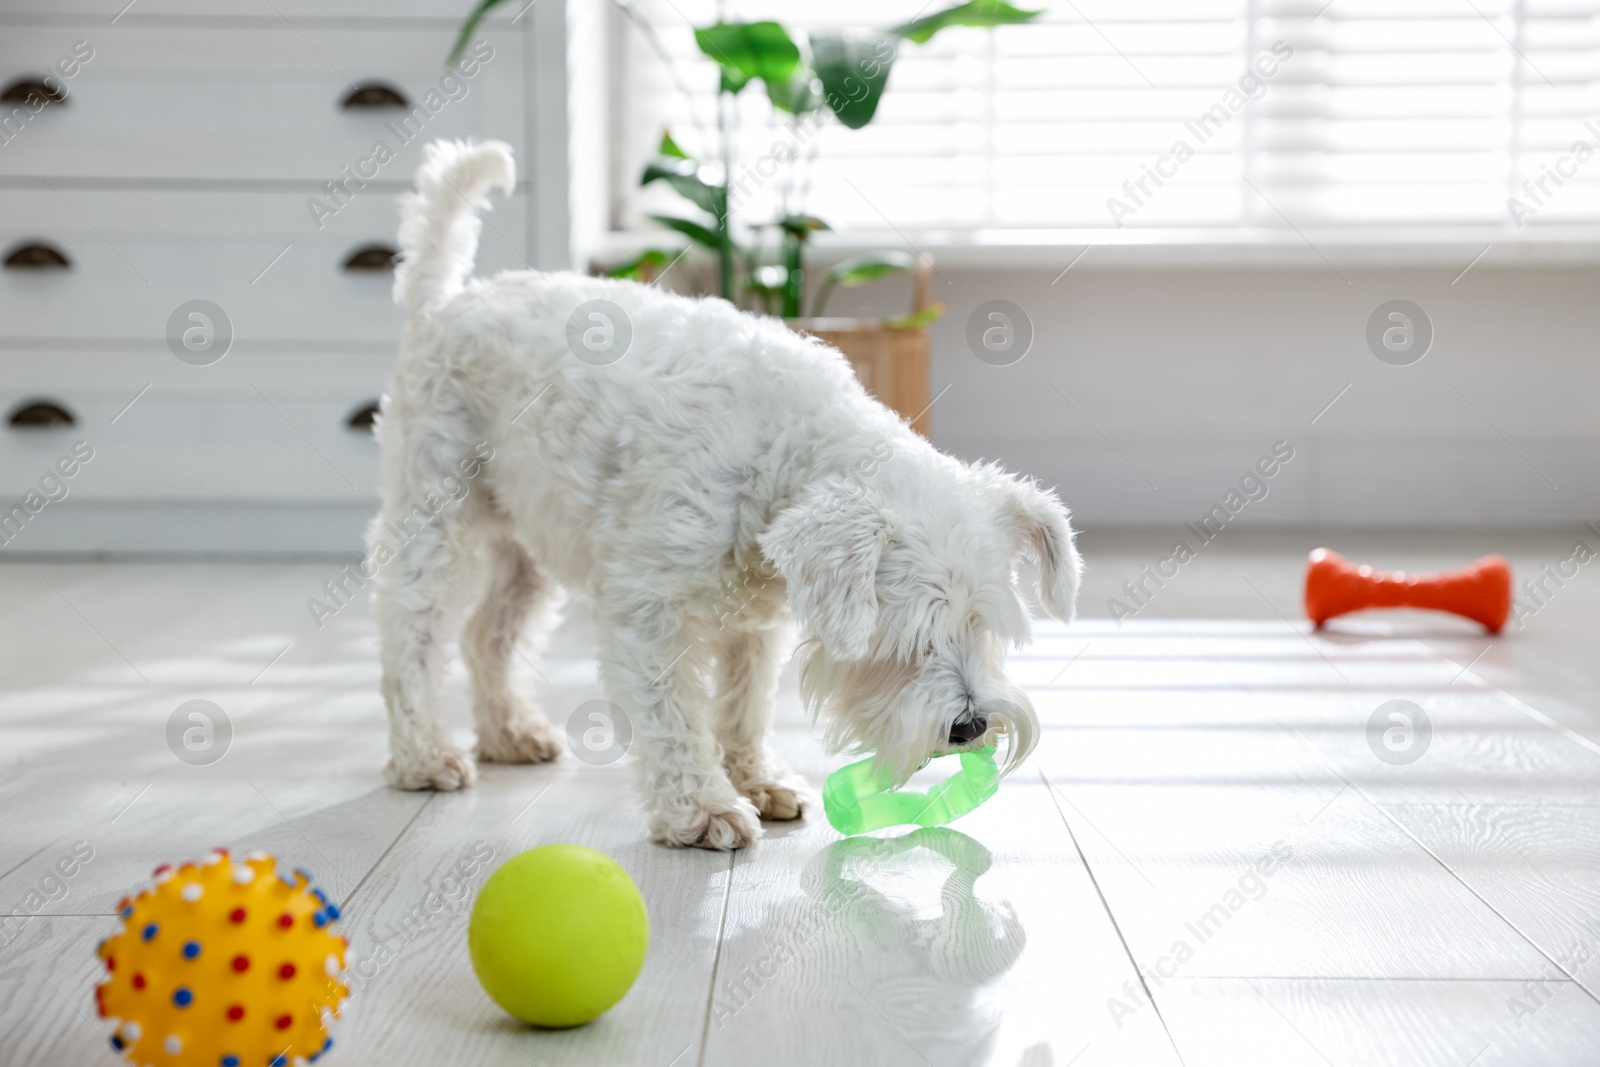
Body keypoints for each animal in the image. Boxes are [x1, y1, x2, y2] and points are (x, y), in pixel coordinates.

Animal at [368, 141, 1081, 851]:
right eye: (906, 637)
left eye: (983, 625)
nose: (970, 727)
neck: (778, 453)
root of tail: (443, 305)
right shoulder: (645, 609)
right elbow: (673, 717)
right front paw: (702, 808)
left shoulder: (755, 623)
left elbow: (744, 704)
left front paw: (758, 780)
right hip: (433, 522)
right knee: (410, 637)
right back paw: (423, 756)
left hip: (527, 547)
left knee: (485, 639)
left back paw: (509, 734)